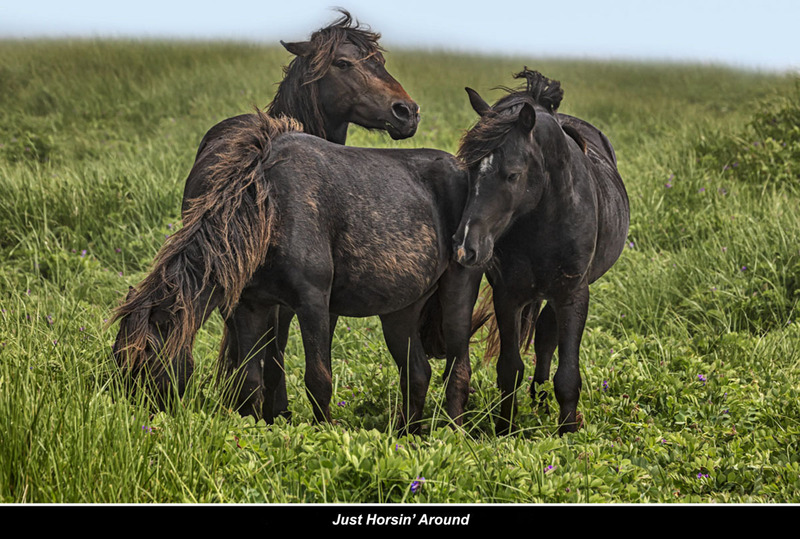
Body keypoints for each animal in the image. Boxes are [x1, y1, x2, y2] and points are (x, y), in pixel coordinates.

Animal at [112, 111, 483, 434]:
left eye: (145, 358)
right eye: (118, 356)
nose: (135, 421)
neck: (266, 208)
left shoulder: (312, 303)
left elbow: (318, 379)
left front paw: (324, 431)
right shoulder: (250, 306)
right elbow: (250, 378)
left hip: (457, 294)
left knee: (458, 370)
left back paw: (452, 434)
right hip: (400, 312)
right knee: (417, 373)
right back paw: (408, 435)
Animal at [452, 68, 630, 435]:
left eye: (512, 174)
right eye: (470, 168)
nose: (466, 247)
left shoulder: (573, 294)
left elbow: (568, 374)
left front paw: (567, 432)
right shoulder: (508, 295)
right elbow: (509, 368)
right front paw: (504, 429)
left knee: (548, 334)